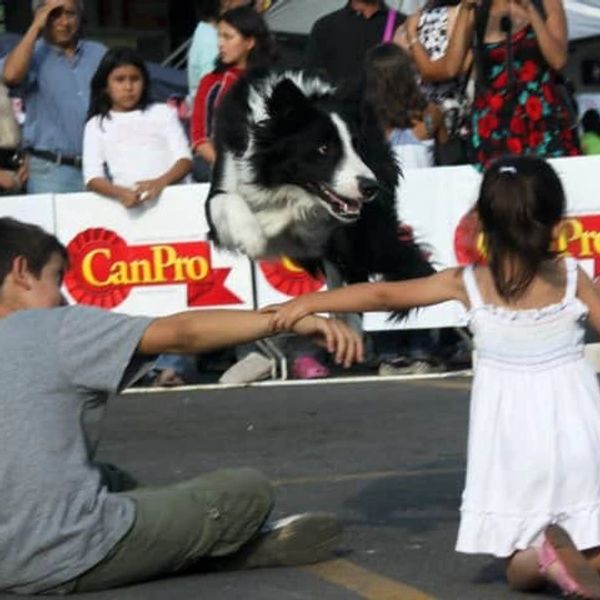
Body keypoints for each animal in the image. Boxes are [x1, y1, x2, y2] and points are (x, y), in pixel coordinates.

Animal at [205, 68, 432, 288]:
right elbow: (227, 199)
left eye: (357, 146)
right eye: (323, 149)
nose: (371, 187)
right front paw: (252, 237)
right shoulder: (229, 175)